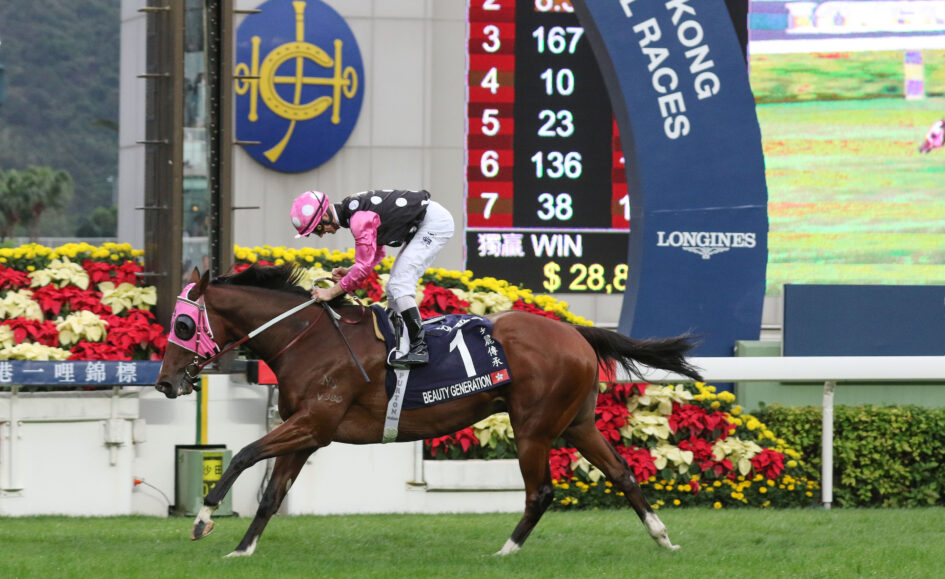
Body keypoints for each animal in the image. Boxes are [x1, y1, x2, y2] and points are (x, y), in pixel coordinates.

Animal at [154, 264, 704, 557]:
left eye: (182, 325)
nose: (163, 382)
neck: (306, 339)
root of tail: (575, 331)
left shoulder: (314, 422)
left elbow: (245, 453)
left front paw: (203, 518)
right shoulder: (305, 429)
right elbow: (271, 494)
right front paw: (242, 549)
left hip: (533, 427)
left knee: (541, 492)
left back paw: (506, 551)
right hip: (578, 423)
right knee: (624, 474)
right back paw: (663, 539)